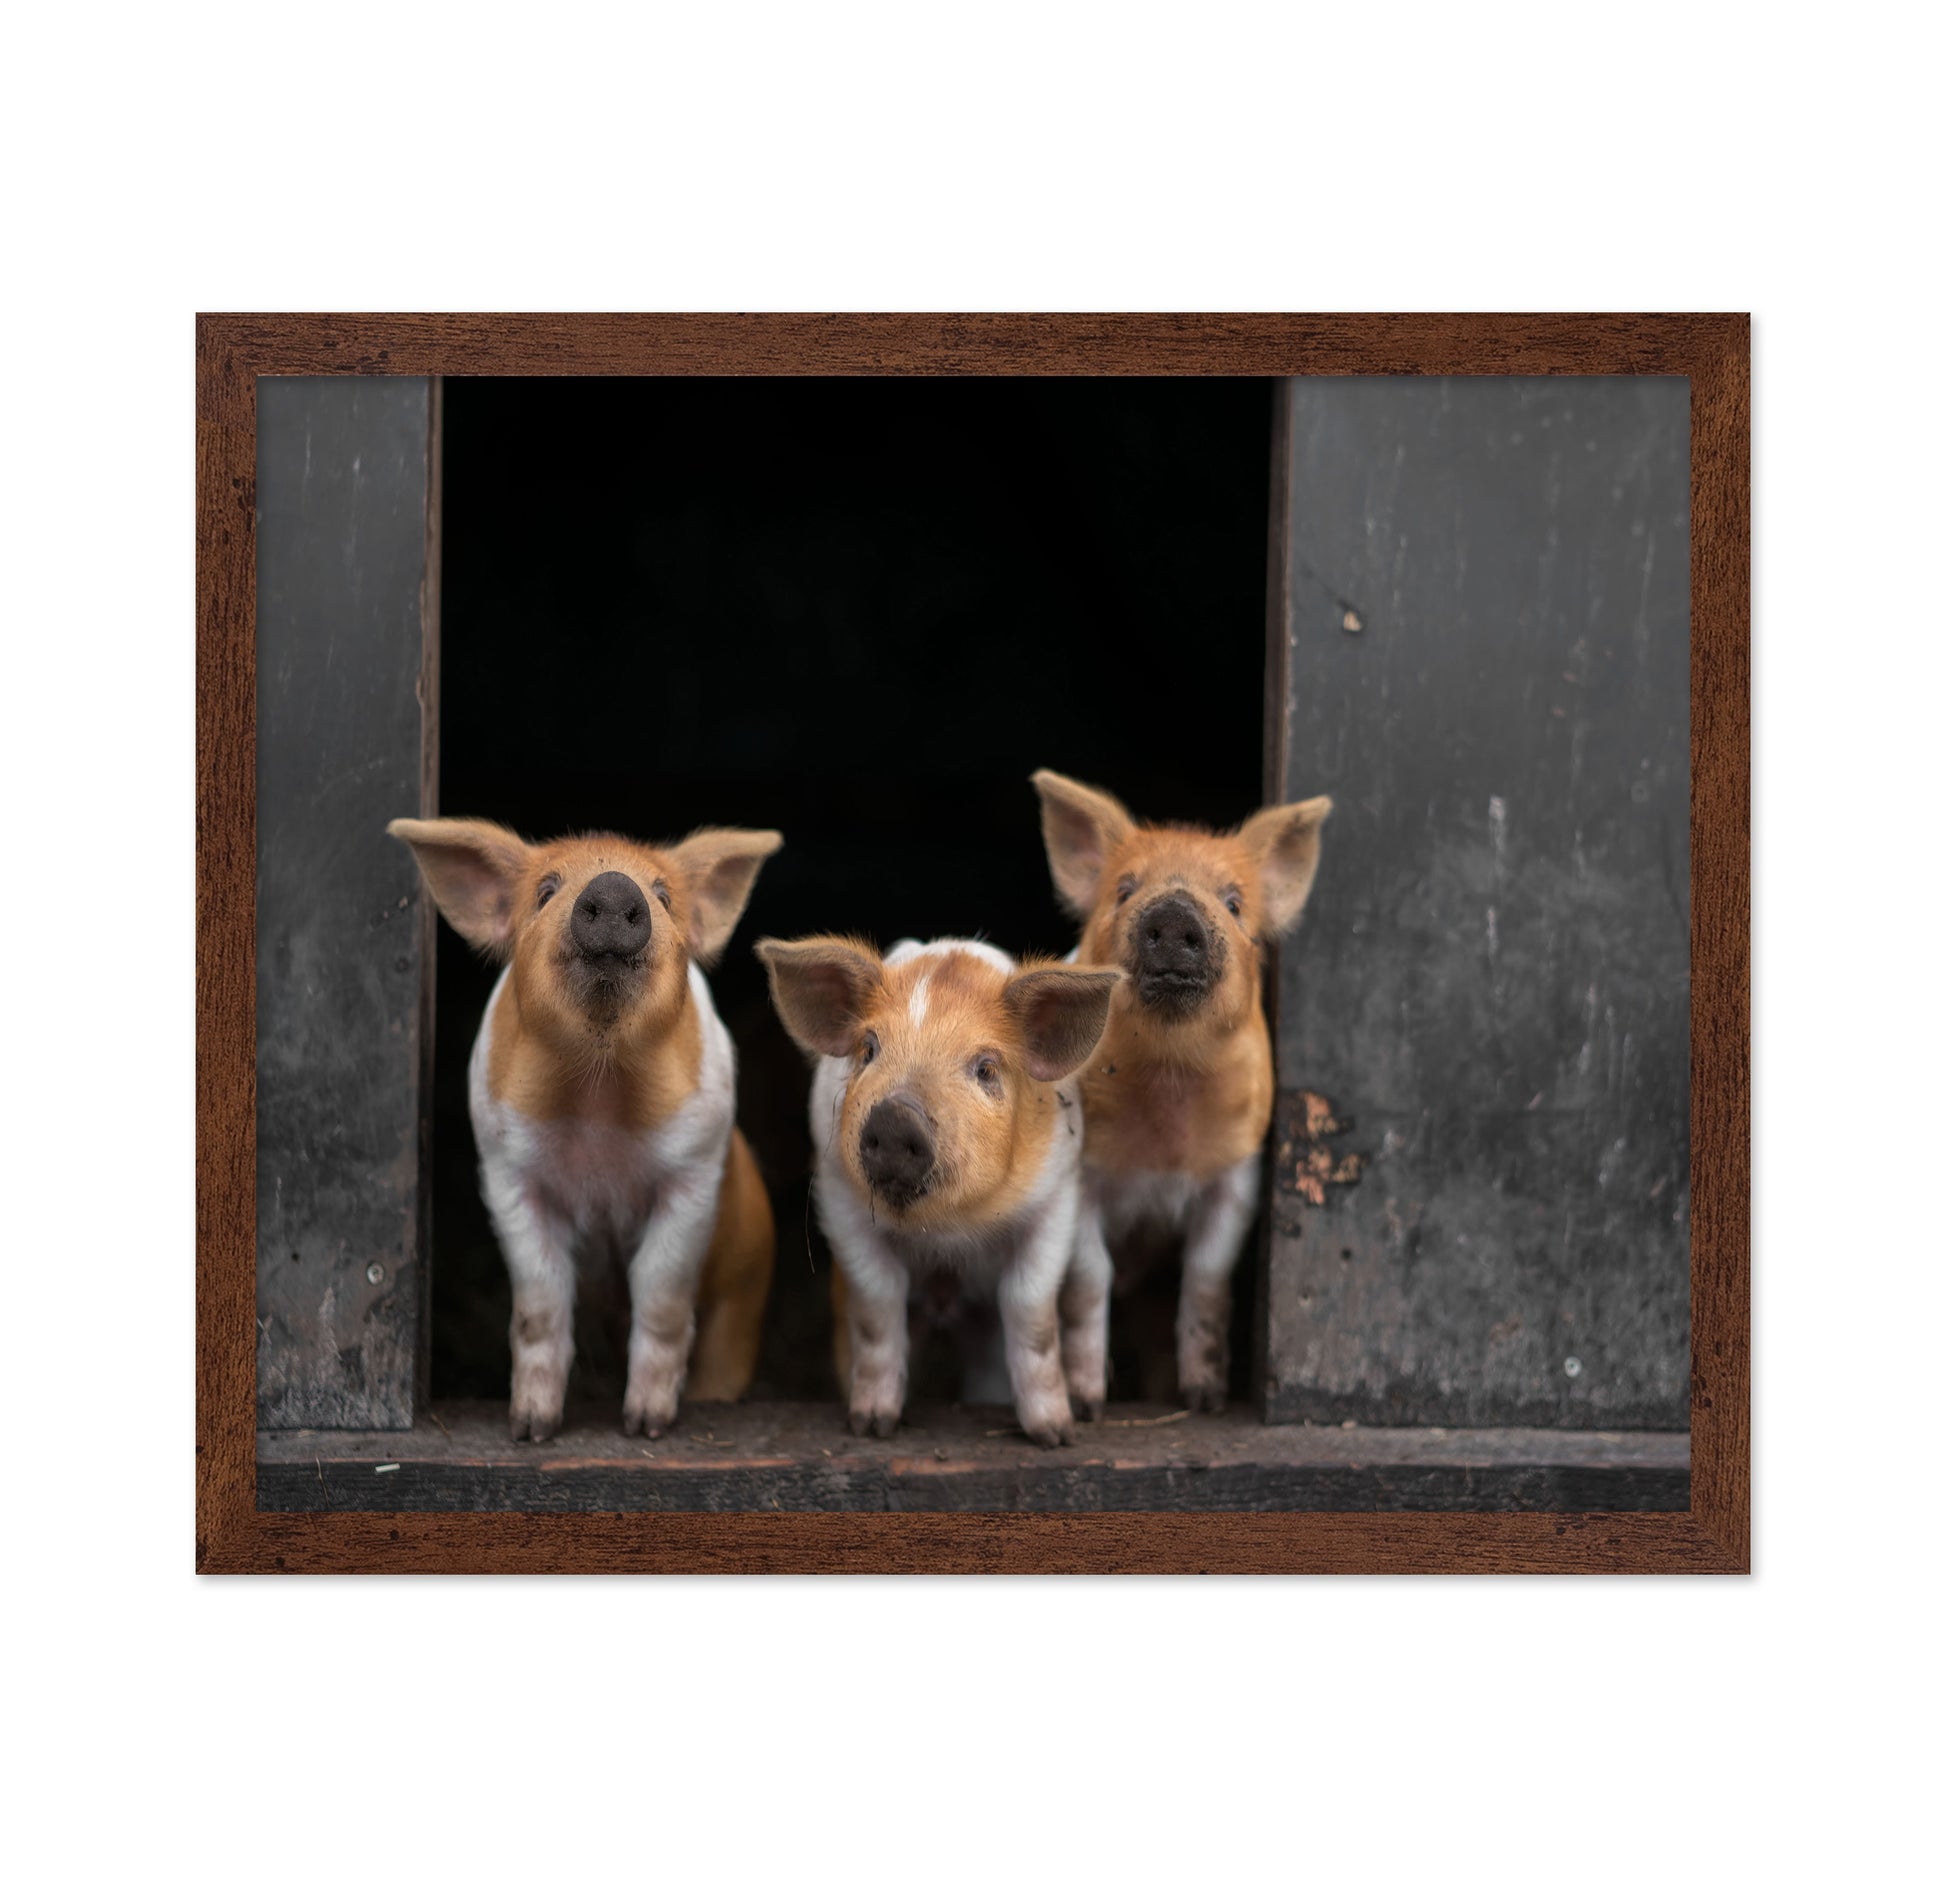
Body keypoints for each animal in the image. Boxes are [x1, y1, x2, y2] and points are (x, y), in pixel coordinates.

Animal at [388, 816, 781, 1440]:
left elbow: (661, 1295)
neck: (598, 1101)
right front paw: (529, 1430)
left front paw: (645, 1427)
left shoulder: (694, 1174)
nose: (616, 885)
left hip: (747, 1284)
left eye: (664, 896)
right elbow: (539, 1304)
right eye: (545, 891)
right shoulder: (507, 1174)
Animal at [756, 935, 1120, 1447]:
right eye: (869, 1049)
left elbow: (1031, 1312)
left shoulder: (1055, 1199)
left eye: (986, 1068)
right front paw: (872, 1426)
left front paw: (1056, 1435)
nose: (894, 1117)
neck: (946, 1232)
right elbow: (876, 1304)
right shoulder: (838, 1199)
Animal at [1031, 769, 1332, 1412]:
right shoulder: (1082, 1177)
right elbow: (1090, 1277)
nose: (1172, 911)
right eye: (1124, 891)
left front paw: (1205, 1398)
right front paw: (1089, 1405)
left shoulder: (1238, 1171)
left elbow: (1207, 1274)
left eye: (1234, 902)